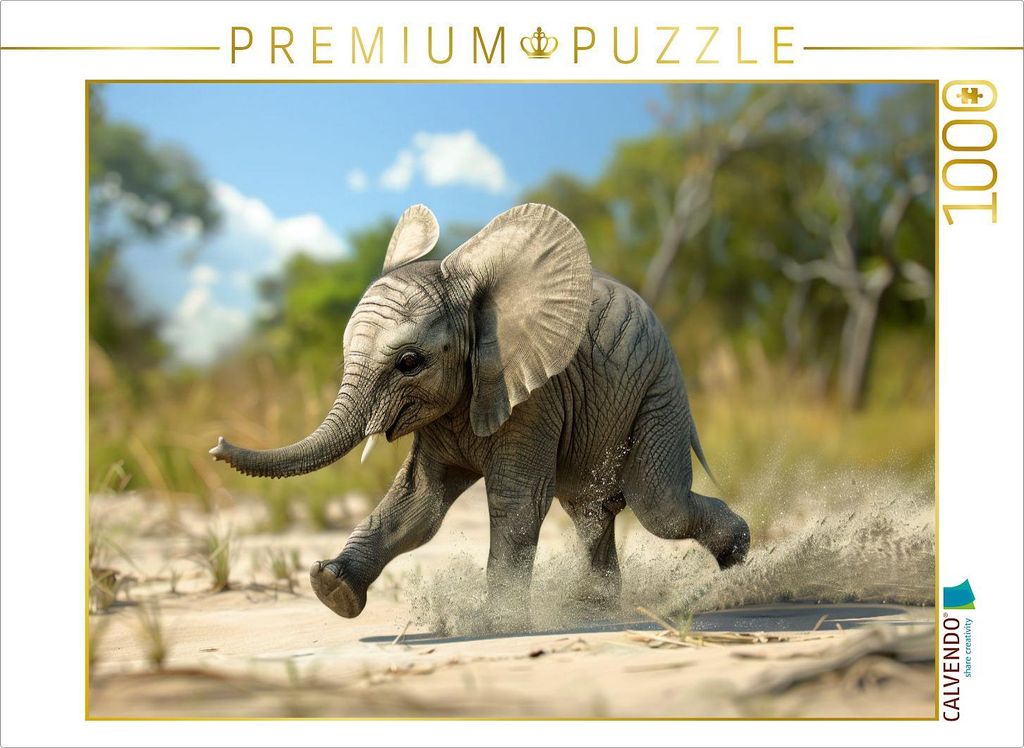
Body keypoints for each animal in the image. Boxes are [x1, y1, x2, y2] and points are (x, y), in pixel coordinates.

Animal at [210, 203, 750, 623]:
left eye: (410, 362)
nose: (215, 445)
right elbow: (418, 504)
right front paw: (331, 588)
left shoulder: (534, 395)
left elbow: (516, 501)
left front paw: (495, 622)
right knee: (590, 509)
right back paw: (593, 609)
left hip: (661, 389)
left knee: (659, 506)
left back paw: (739, 554)